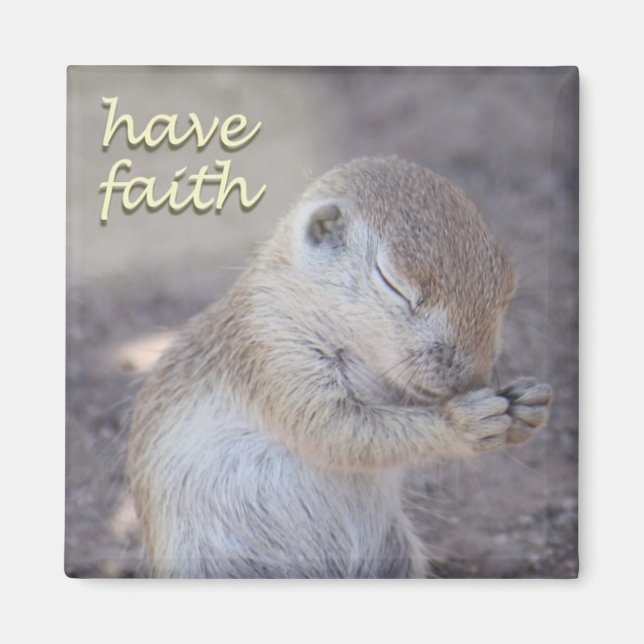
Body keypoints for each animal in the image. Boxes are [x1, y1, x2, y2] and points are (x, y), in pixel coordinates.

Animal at [127, 156, 553, 578]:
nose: (473, 378)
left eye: (510, 288)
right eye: (393, 282)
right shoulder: (274, 350)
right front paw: (461, 423)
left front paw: (529, 405)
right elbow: (336, 428)